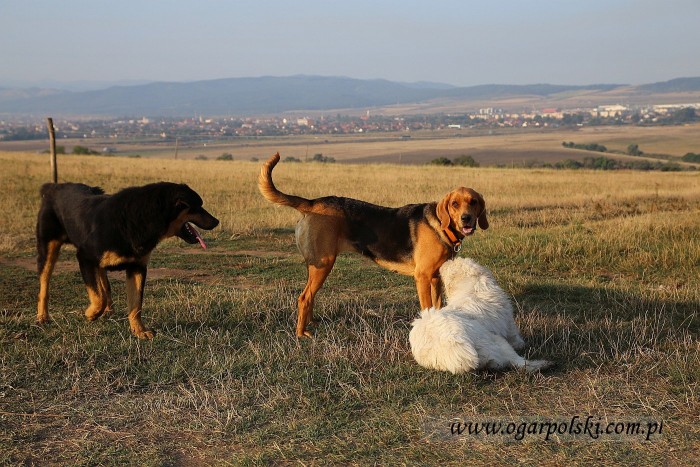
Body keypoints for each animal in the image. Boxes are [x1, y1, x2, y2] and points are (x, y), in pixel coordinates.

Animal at [34, 181, 219, 338]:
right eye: (197, 207)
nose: (217, 221)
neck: (139, 218)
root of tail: (53, 187)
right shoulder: (85, 257)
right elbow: (98, 297)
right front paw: (91, 314)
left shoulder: (137, 267)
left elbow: (135, 304)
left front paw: (139, 331)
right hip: (48, 249)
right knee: (44, 285)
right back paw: (43, 316)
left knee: (104, 284)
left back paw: (108, 310)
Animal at [258, 154, 486, 336]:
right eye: (454, 204)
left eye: (473, 202)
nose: (466, 219)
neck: (441, 226)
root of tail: (312, 203)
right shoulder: (422, 277)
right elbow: (427, 307)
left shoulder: (436, 278)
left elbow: (437, 306)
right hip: (323, 264)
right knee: (304, 297)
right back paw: (301, 334)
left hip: (317, 266)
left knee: (310, 296)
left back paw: (311, 324)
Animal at [410, 258, 552, 374]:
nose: (442, 265)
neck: (474, 286)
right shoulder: (508, 324)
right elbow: (515, 338)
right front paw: (522, 344)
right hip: (498, 342)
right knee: (520, 363)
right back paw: (542, 364)